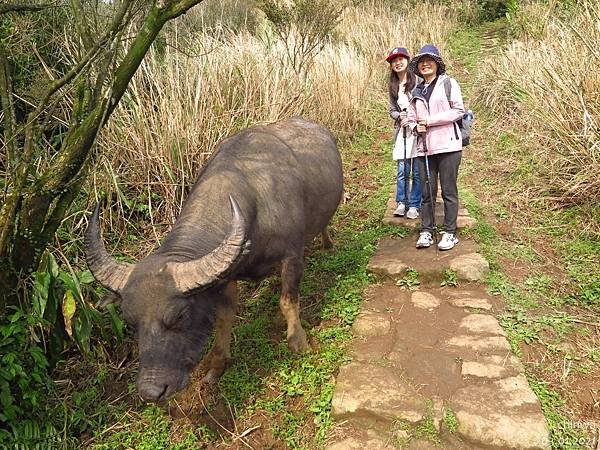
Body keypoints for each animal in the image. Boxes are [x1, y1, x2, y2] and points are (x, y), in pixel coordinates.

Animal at [86, 116, 344, 400]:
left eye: (179, 316)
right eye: (130, 321)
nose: (151, 391)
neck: (256, 209)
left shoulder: (291, 257)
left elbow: (288, 301)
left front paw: (298, 341)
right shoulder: (226, 277)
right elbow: (224, 317)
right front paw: (217, 364)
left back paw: (328, 244)